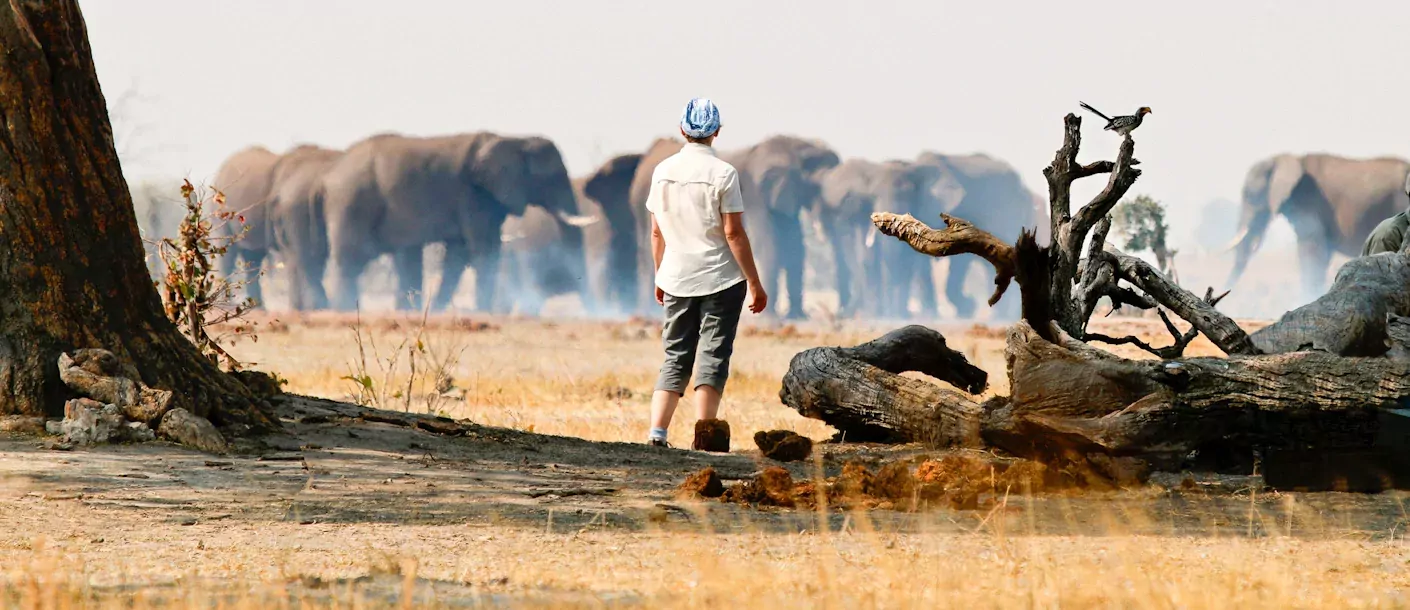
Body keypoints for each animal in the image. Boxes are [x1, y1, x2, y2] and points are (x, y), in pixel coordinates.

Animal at [320, 131, 589, 311]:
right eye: (552, 178)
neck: (515, 140)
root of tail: (333, 170)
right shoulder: (473, 195)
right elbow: (484, 248)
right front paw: (486, 312)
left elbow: (459, 254)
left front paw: (437, 311)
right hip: (352, 201)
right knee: (350, 259)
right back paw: (345, 311)